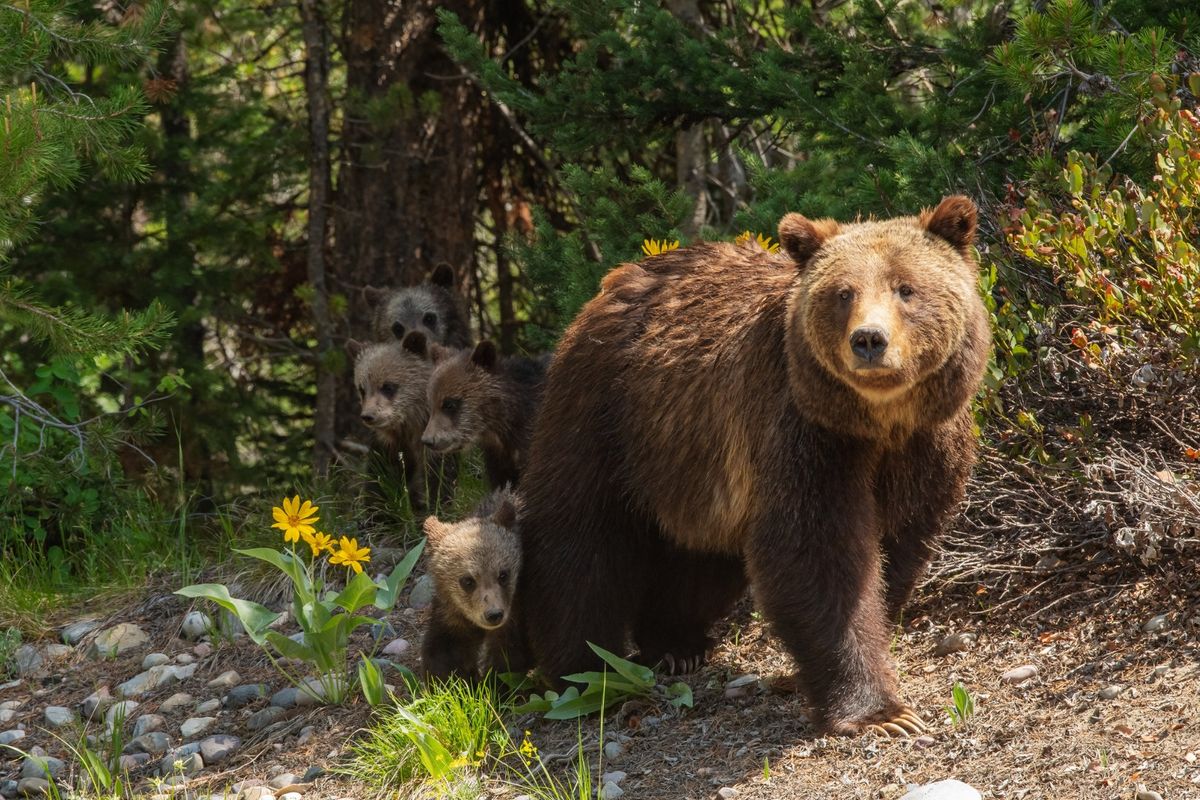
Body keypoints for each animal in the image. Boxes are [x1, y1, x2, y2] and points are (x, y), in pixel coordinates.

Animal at [350, 334, 455, 510]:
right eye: (362, 389)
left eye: (388, 386)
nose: (368, 416)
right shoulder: (389, 444)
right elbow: (380, 479)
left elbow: (440, 479)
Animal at [421, 488, 529, 680]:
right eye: (468, 580)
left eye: (503, 574)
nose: (494, 614)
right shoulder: (451, 615)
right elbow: (443, 652)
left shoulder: (514, 614)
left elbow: (507, 659)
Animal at [514, 196, 990, 736]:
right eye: (843, 293)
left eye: (906, 288)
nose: (869, 340)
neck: (879, 421)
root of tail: (616, 279)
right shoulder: (804, 435)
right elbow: (817, 554)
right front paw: (880, 712)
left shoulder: (925, 446)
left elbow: (899, 544)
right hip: (607, 415)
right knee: (579, 538)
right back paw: (584, 672)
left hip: (694, 465)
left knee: (702, 559)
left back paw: (675, 642)